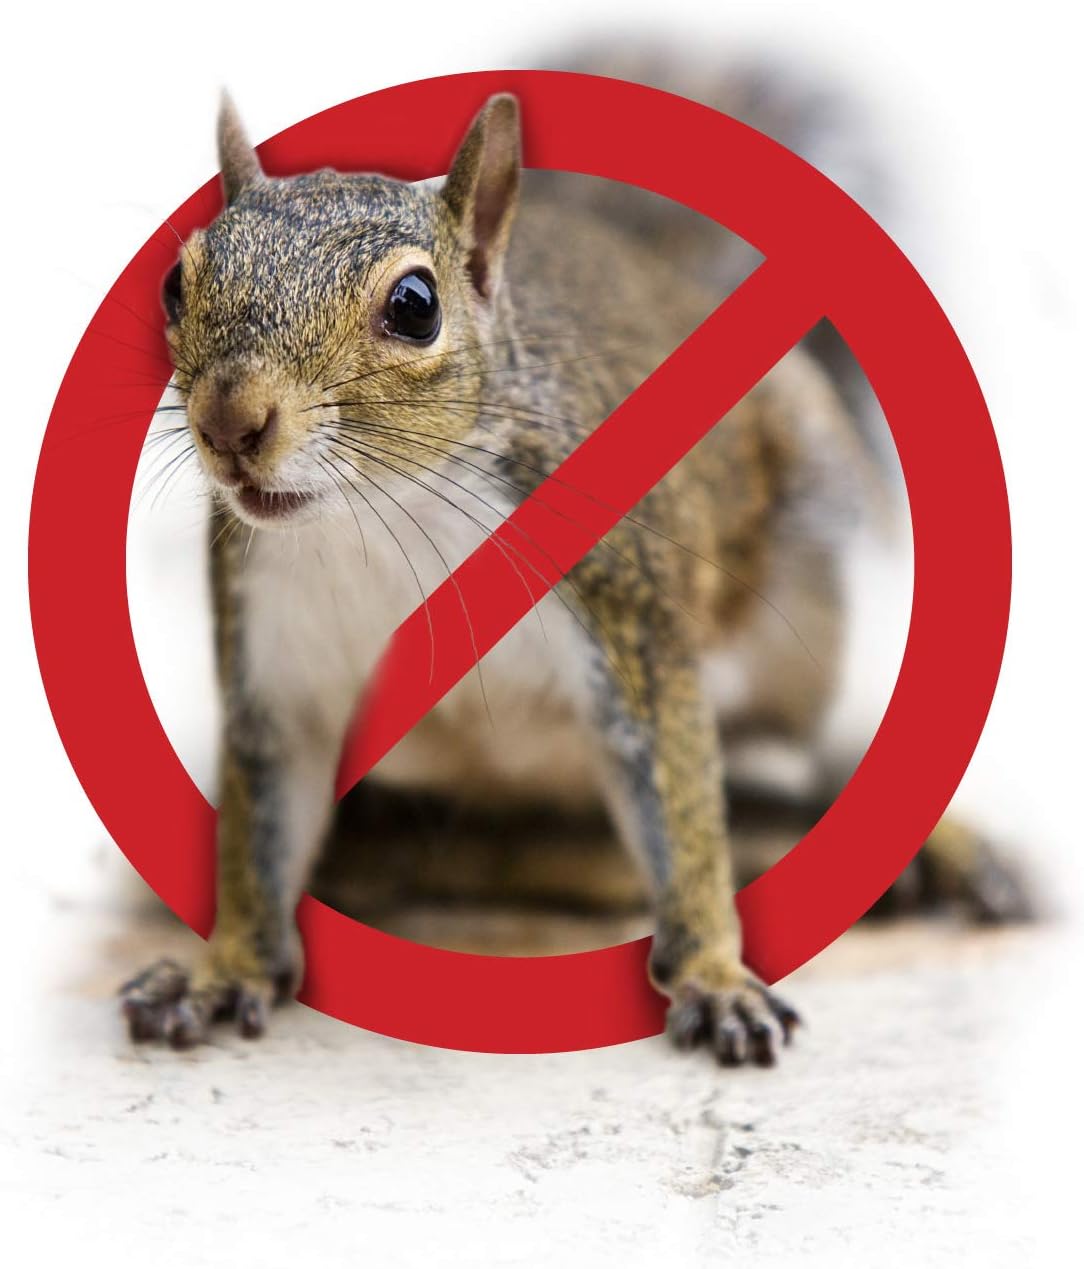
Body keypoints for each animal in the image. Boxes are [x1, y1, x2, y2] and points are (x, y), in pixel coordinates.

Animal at [120, 74, 1031, 1062]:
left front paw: (716, 976)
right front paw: (222, 972)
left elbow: (678, 795)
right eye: (175, 281)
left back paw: (948, 853)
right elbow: (262, 832)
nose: (229, 421)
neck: (382, 516)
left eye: (415, 305)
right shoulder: (275, 668)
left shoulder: (629, 616)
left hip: (826, 607)